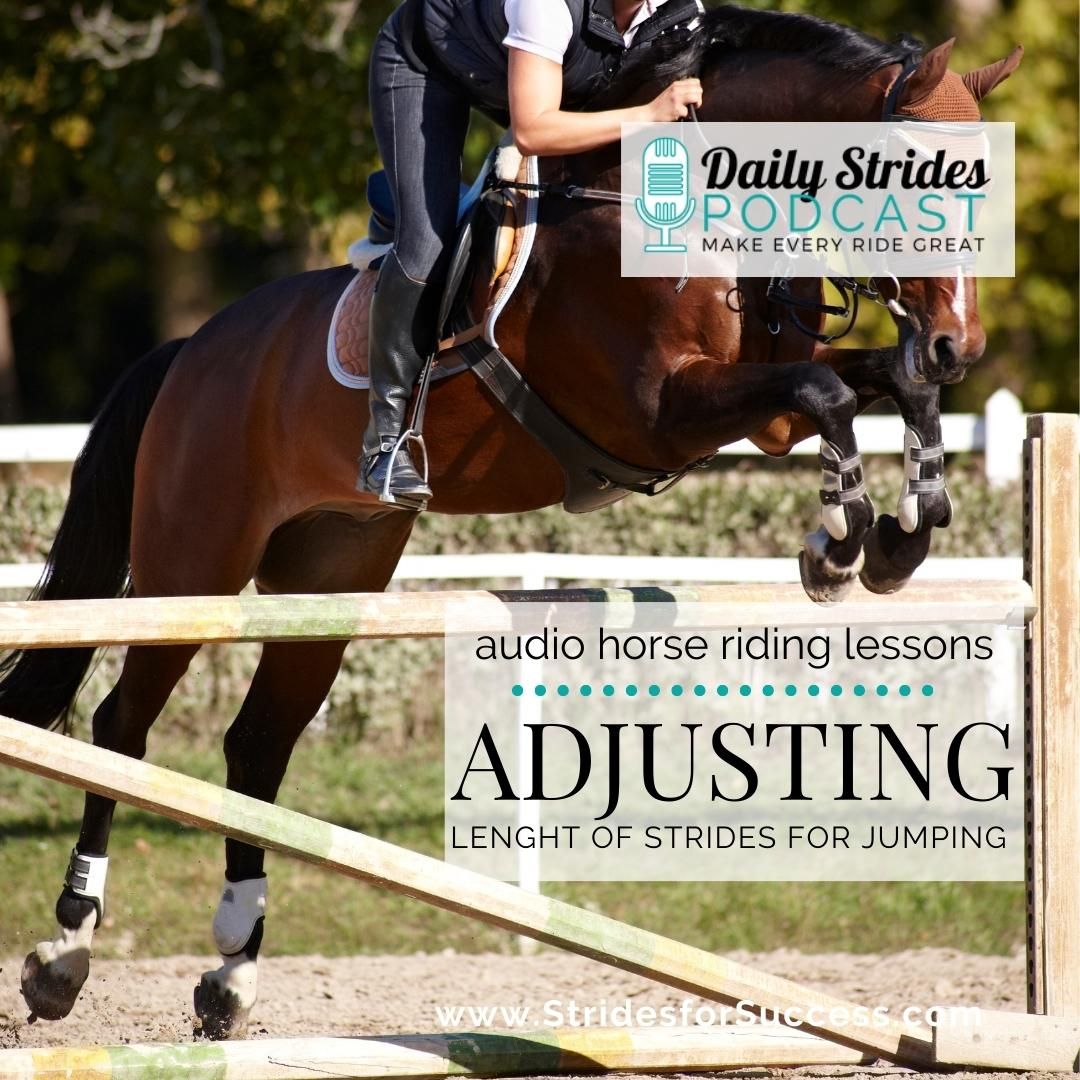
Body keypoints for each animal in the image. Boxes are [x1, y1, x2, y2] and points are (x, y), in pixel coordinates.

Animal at [0, 5, 1020, 1040]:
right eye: (907, 176)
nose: (960, 345)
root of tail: (192, 349)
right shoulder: (660, 411)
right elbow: (829, 390)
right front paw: (844, 545)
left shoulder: (760, 412)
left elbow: (877, 386)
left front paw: (896, 534)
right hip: (195, 563)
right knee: (122, 725)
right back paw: (65, 955)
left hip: (333, 572)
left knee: (257, 744)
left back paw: (230, 974)